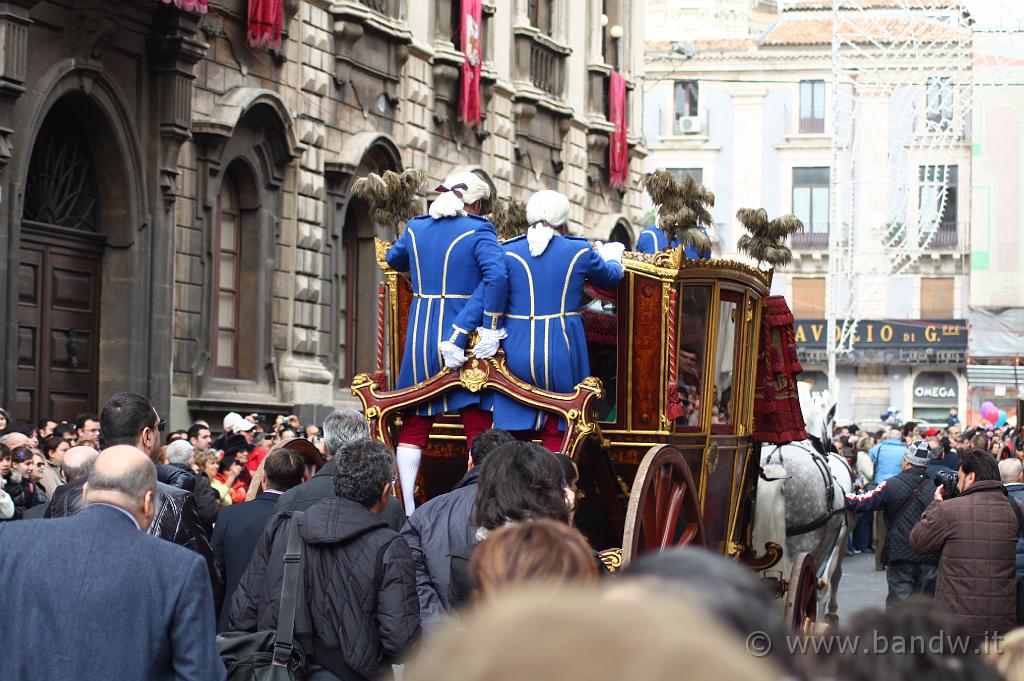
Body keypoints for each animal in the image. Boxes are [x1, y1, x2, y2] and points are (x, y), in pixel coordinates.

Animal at [753, 385, 856, 622]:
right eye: (832, 421)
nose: (831, 447)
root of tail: (774, 466)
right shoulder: (832, 542)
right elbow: (824, 581)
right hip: (805, 542)